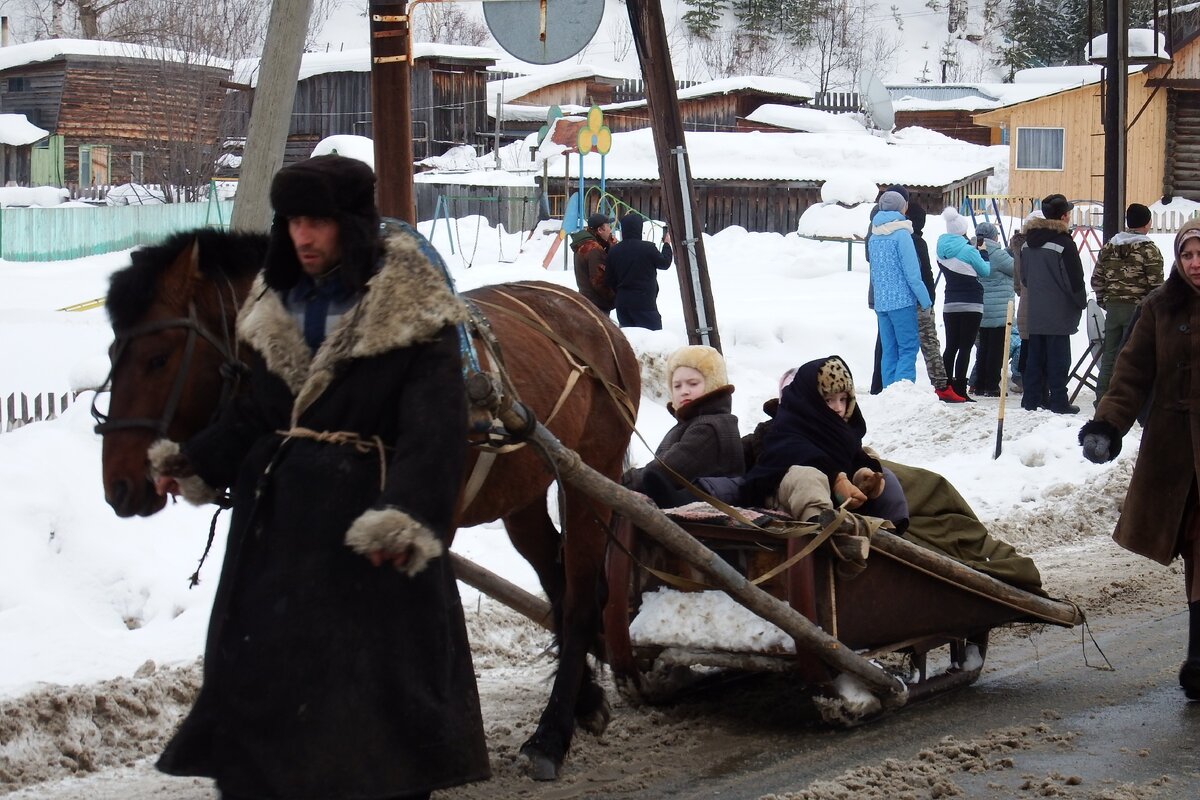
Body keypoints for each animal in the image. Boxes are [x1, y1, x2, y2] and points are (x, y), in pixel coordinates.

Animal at [98, 224, 643, 782]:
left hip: (589, 476)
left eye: (159, 357)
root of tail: (597, 318)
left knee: (579, 599)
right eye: (113, 351)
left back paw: (551, 735)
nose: (118, 484)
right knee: (555, 580)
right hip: (522, 496)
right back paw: (584, 701)